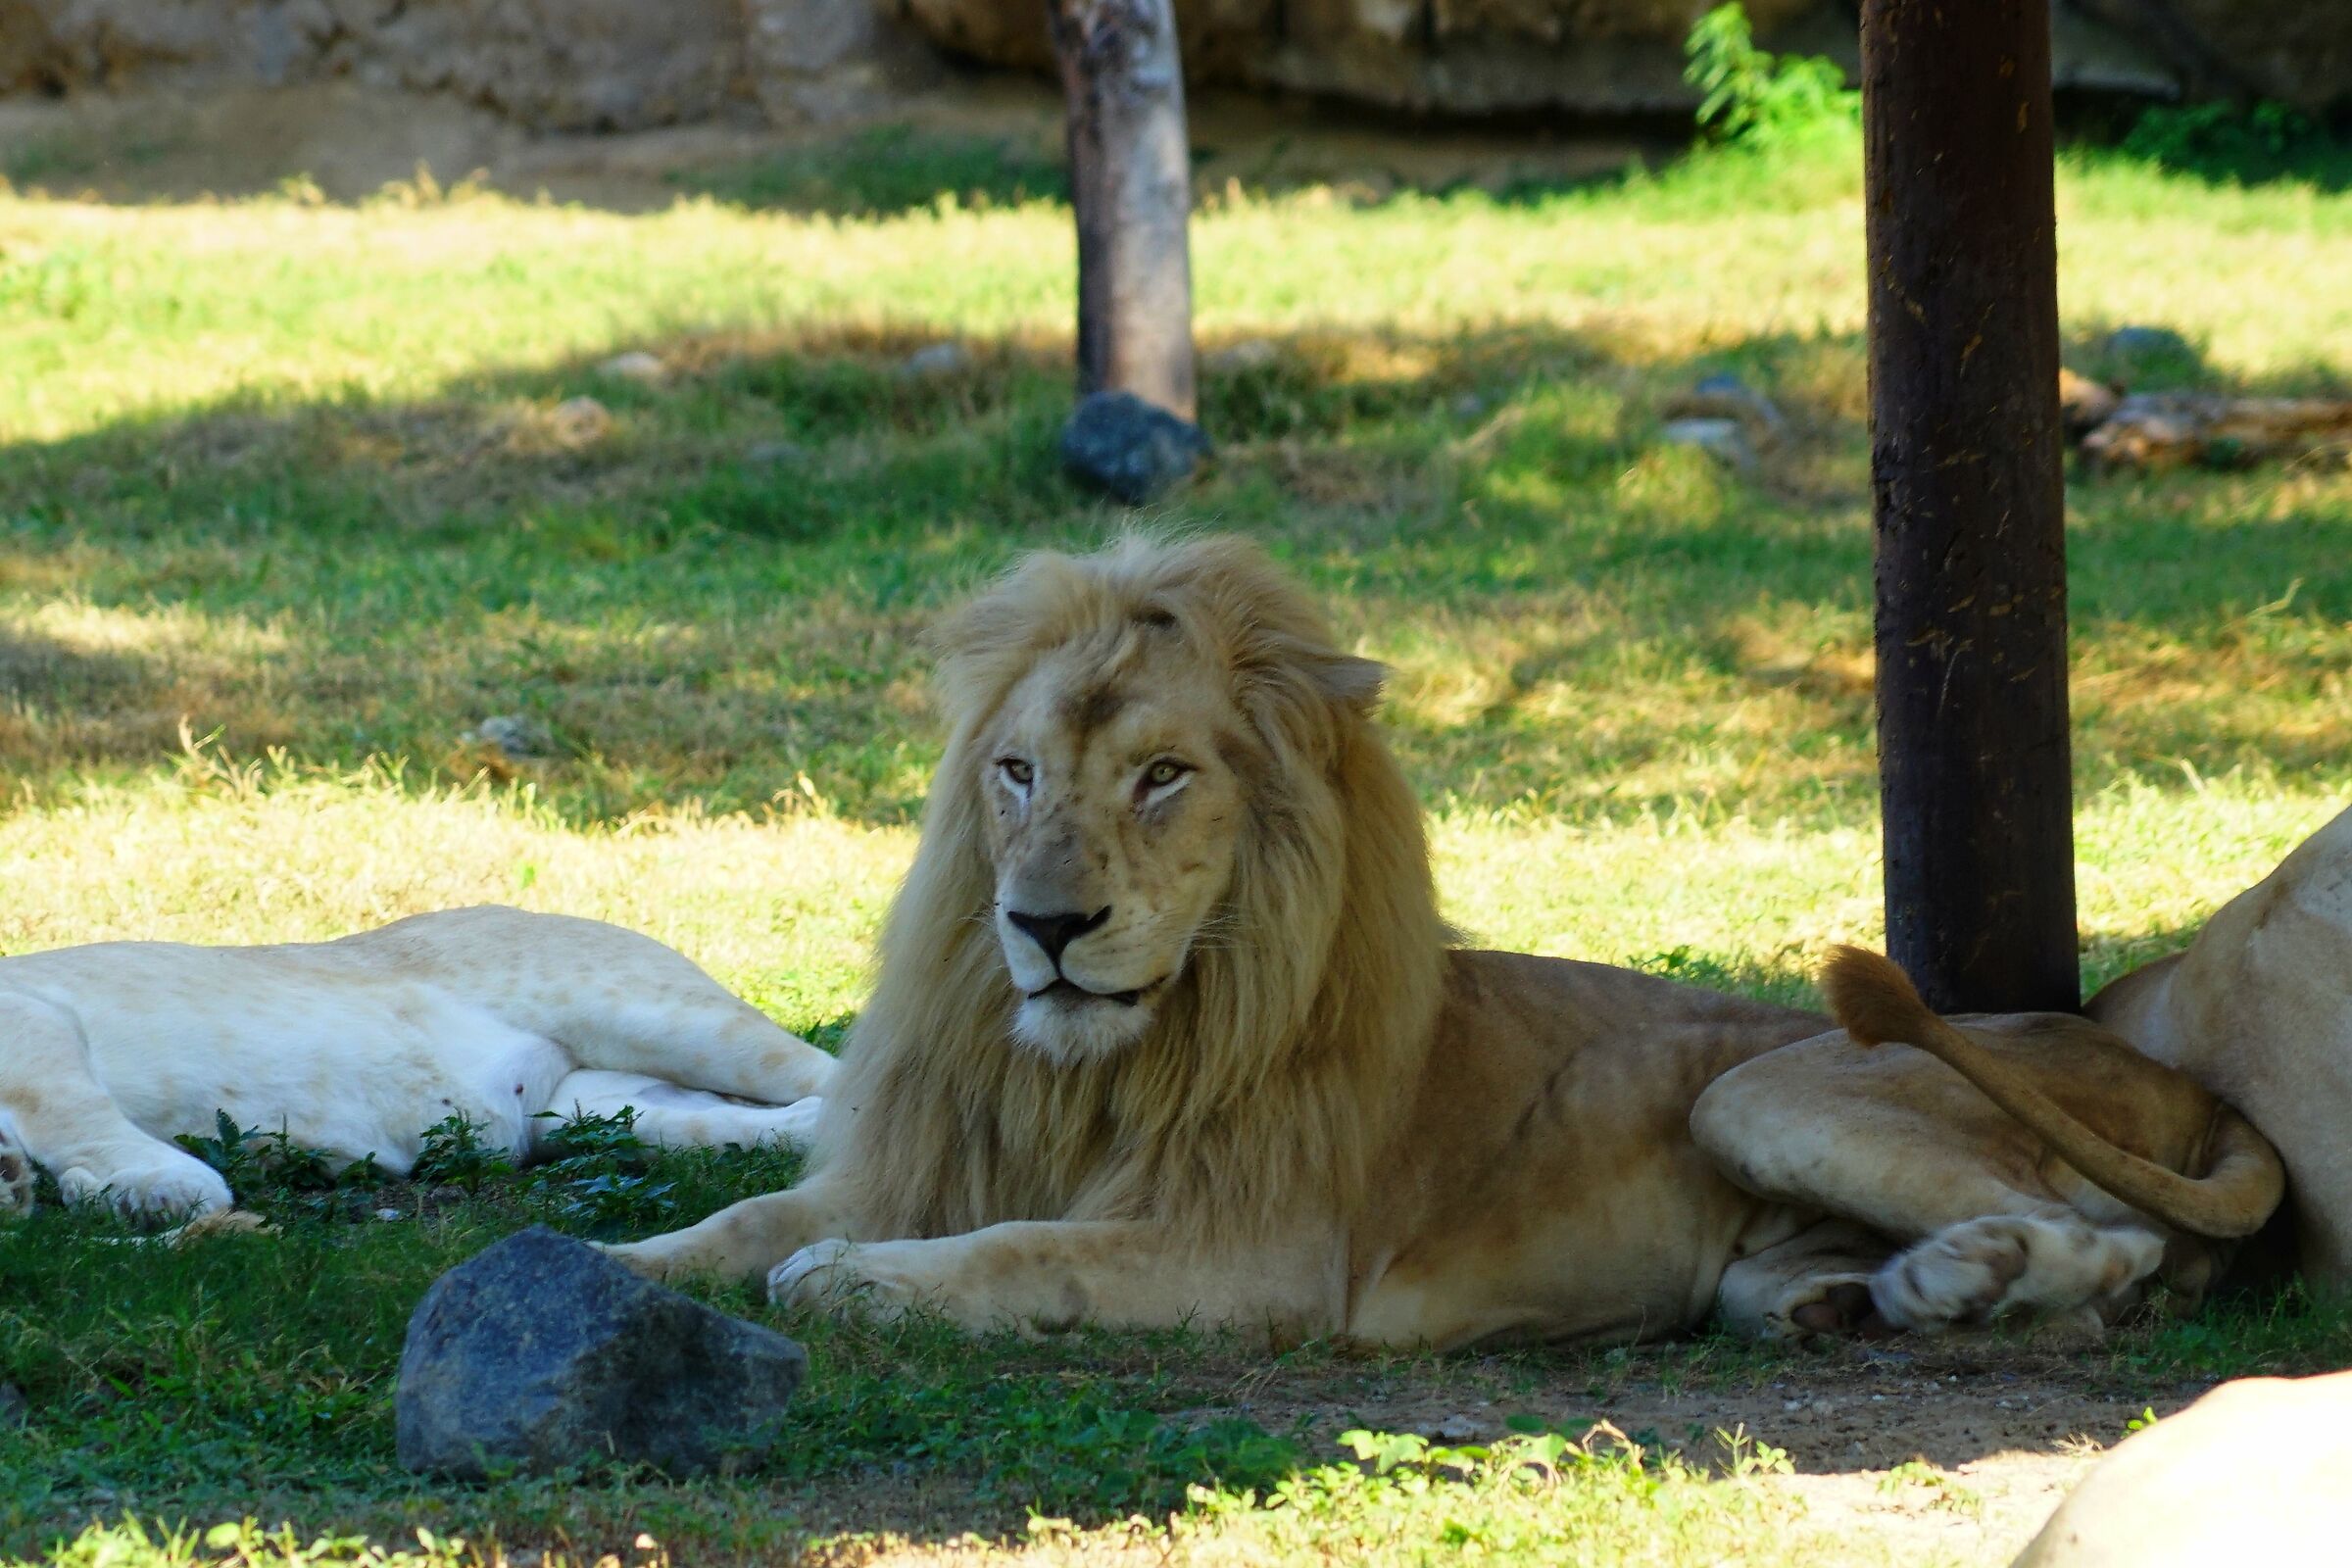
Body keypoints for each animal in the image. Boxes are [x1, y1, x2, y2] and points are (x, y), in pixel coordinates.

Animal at [0, 907, 833, 1221]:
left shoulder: (33, 1014)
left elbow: (72, 1110)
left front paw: (164, 1185)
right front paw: (29, 1187)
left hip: (662, 1017)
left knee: (831, 1068)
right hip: (590, 1111)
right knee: (724, 1125)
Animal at [608, 534, 2284, 1347]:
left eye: (1163, 777)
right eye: (1014, 772)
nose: (1045, 924)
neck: (1087, 1070)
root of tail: (2191, 1087)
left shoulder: (1258, 1258)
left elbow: (1022, 1254)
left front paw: (855, 1283)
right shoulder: (930, 1159)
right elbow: (731, 1229)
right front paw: (608, 1264)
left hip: (1767, 1087)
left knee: (2119, 1248)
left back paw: (1956, 1287)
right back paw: (1866, 1298)